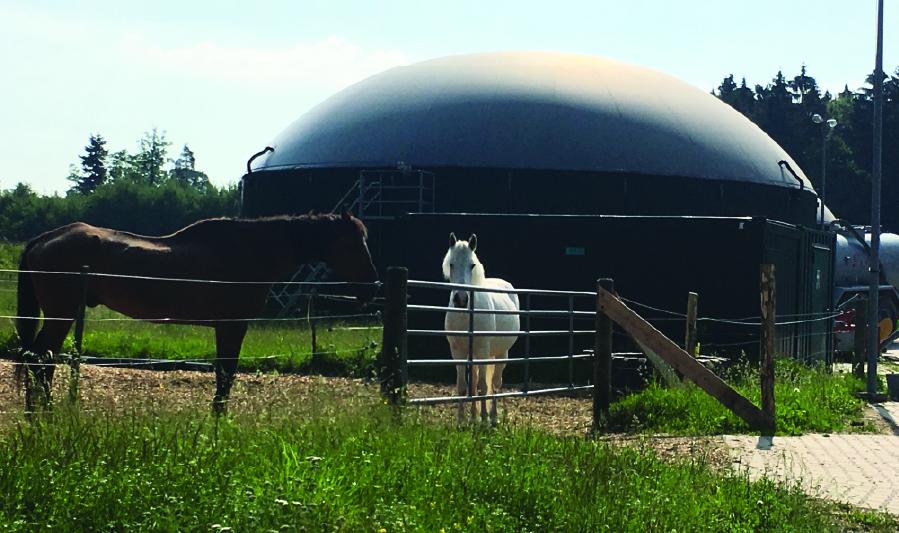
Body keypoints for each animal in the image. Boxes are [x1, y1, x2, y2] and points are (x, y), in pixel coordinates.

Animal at [15, 212, 378, 414]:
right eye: (353, 243)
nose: (372, 287)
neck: (250, 252)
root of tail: (45, 238)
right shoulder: (232, 326)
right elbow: (226, 376)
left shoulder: (226, 328)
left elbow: (223, 376)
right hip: (61, 315)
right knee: (40, 361)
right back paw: (43, 414)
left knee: (40, 360)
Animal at [442, 232, 520, 425]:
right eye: (451, 264)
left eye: (472, 265)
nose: (461, 299)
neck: (467, 315)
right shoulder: (458, 352)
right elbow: (463, 387)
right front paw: (462, 420)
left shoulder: (483, 351)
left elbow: (483, 387)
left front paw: (484, 419)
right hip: (475, 356)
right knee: (476, 382)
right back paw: (473, 417)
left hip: (500, 354)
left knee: (495, 384)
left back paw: (493, 417)